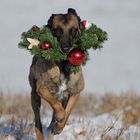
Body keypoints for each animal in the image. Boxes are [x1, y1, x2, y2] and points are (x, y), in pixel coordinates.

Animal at [28, 8, 84, 139]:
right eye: (57, 31)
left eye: (73, 30)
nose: (66, 48)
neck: (62, 64)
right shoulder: (42, 88)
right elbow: (56, 105)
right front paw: (59, 118)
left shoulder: (76, 91)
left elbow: (67, 112)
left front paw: (58, 128)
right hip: (34, 97)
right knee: (38, 122)